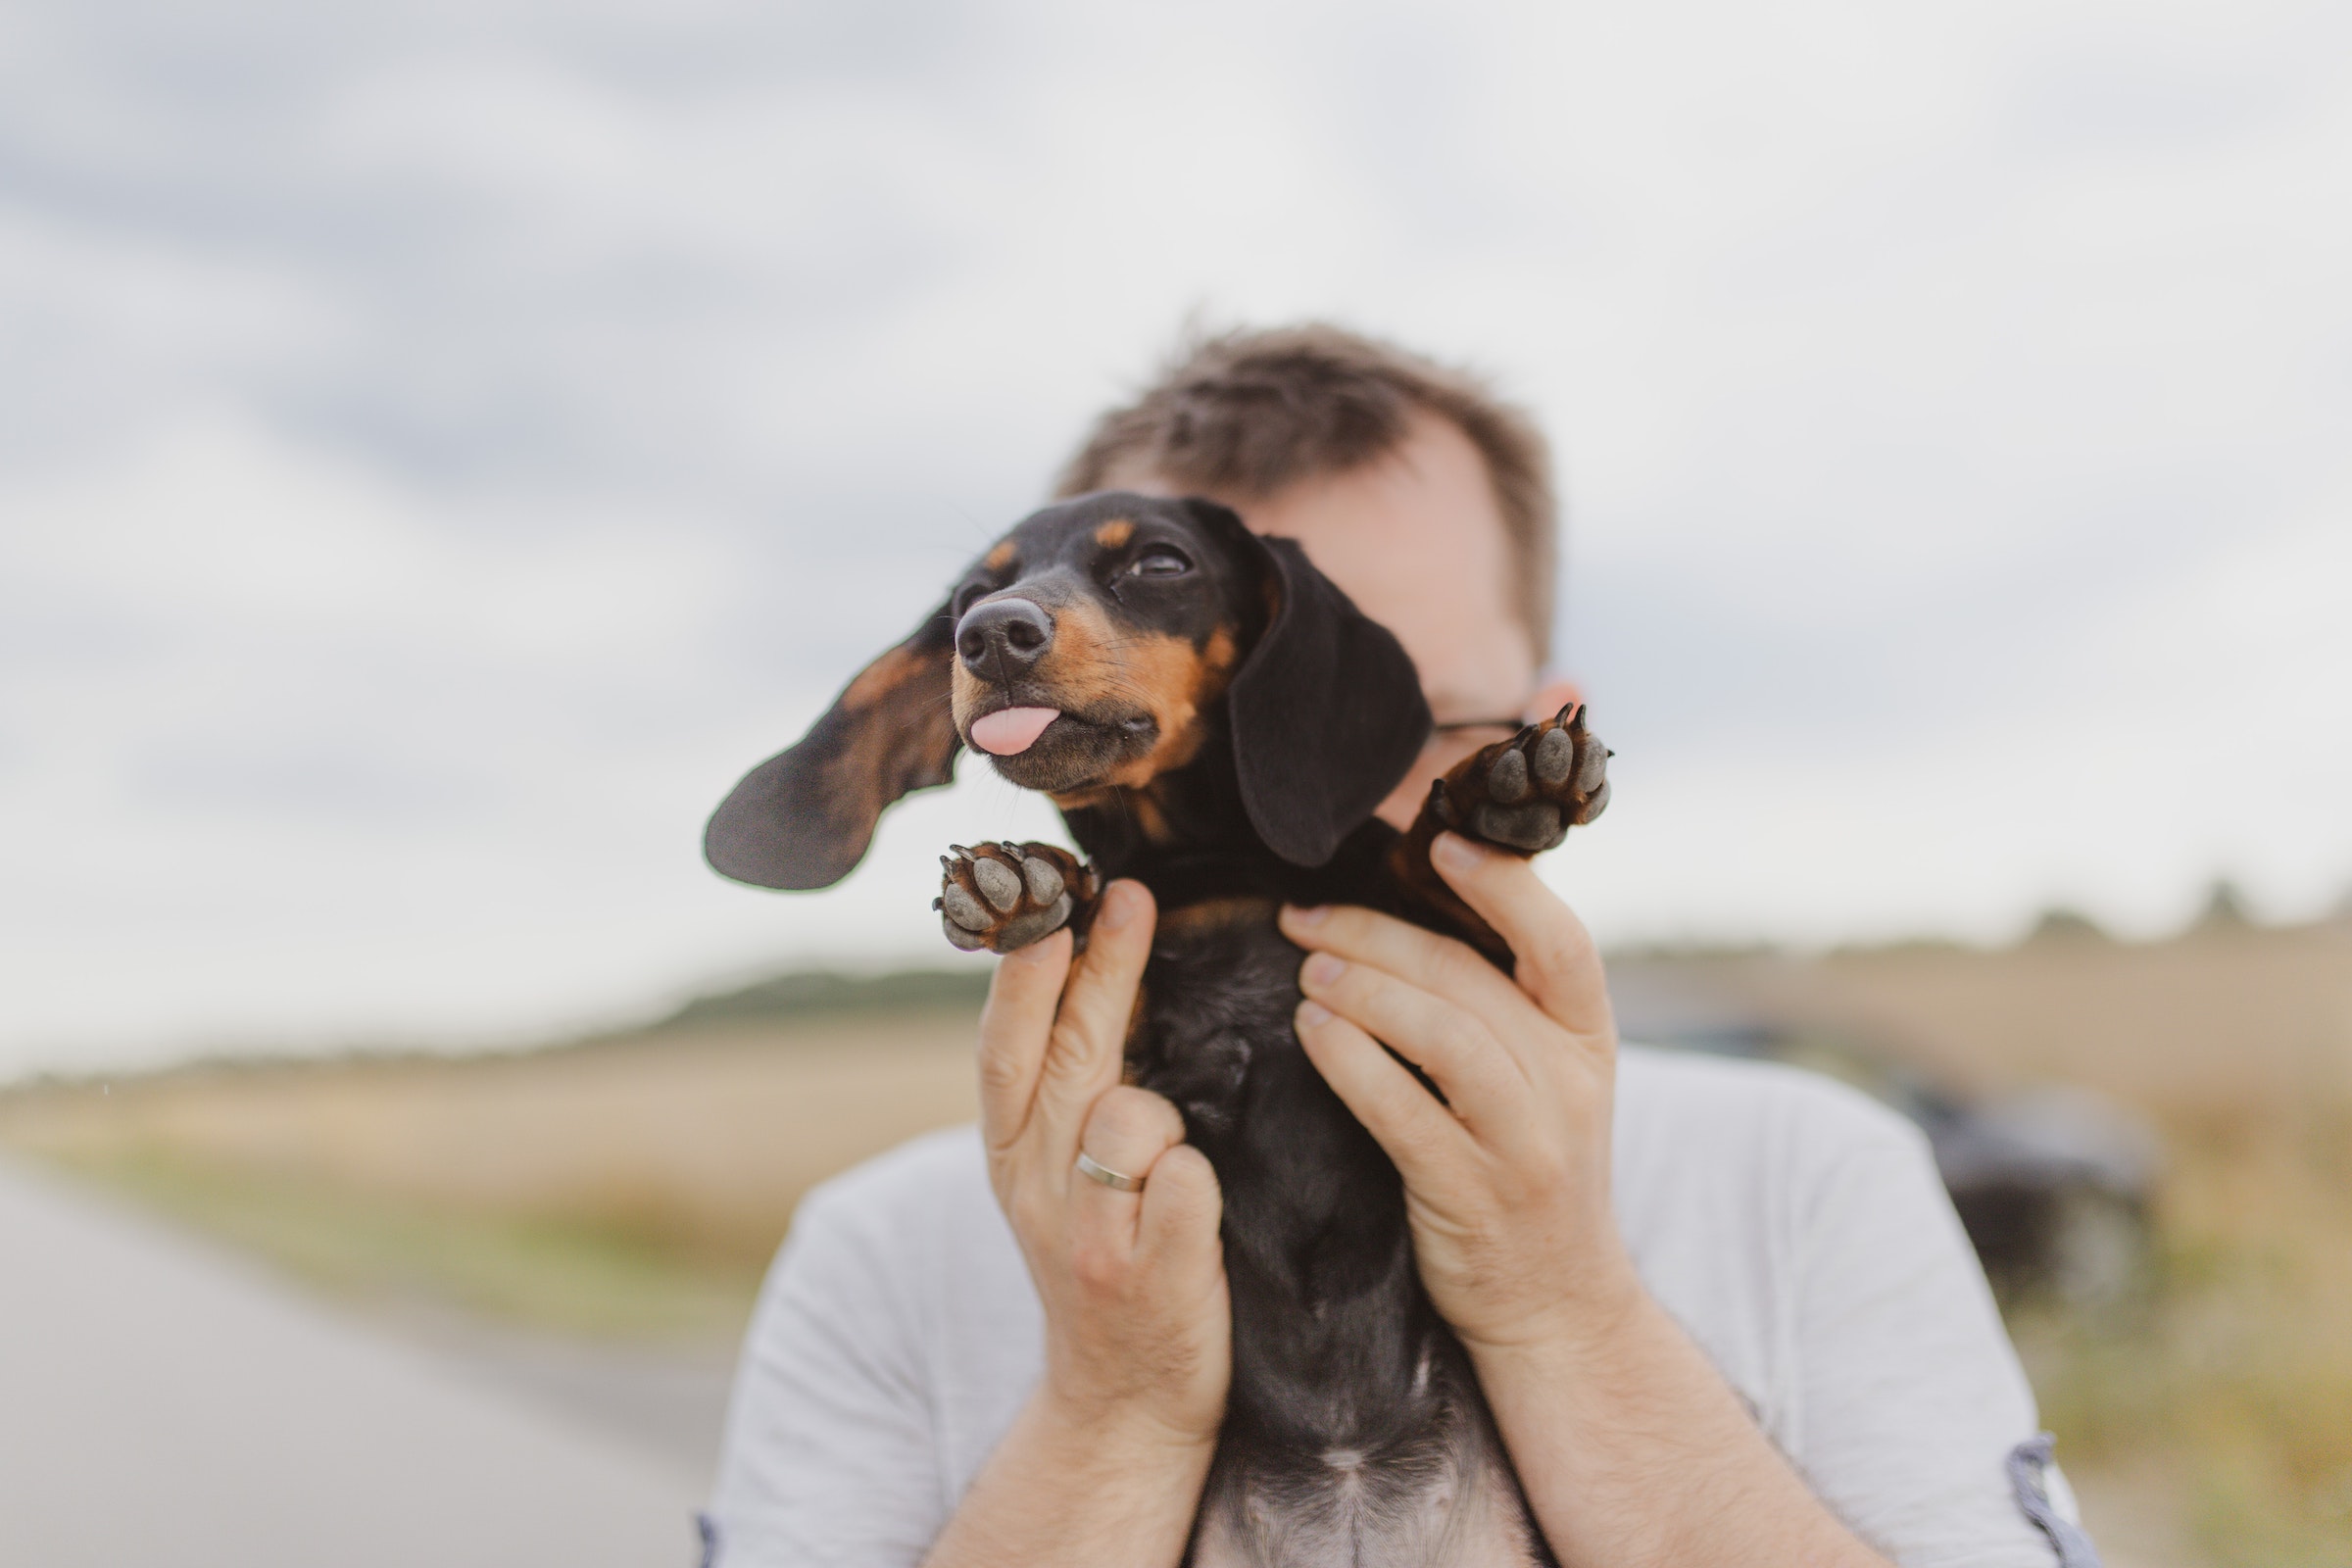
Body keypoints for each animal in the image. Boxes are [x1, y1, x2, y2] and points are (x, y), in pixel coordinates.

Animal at [706, 493, 1608, 1568]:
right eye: (969, 593)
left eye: (1161, 563)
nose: (991, 635)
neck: (1217, 867)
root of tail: (1349, 1481)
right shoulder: (1143, 1045)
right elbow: (1116, 945)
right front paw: (1035, 882)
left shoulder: (1474, 966)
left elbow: (1431, 870)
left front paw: (1498, 790)